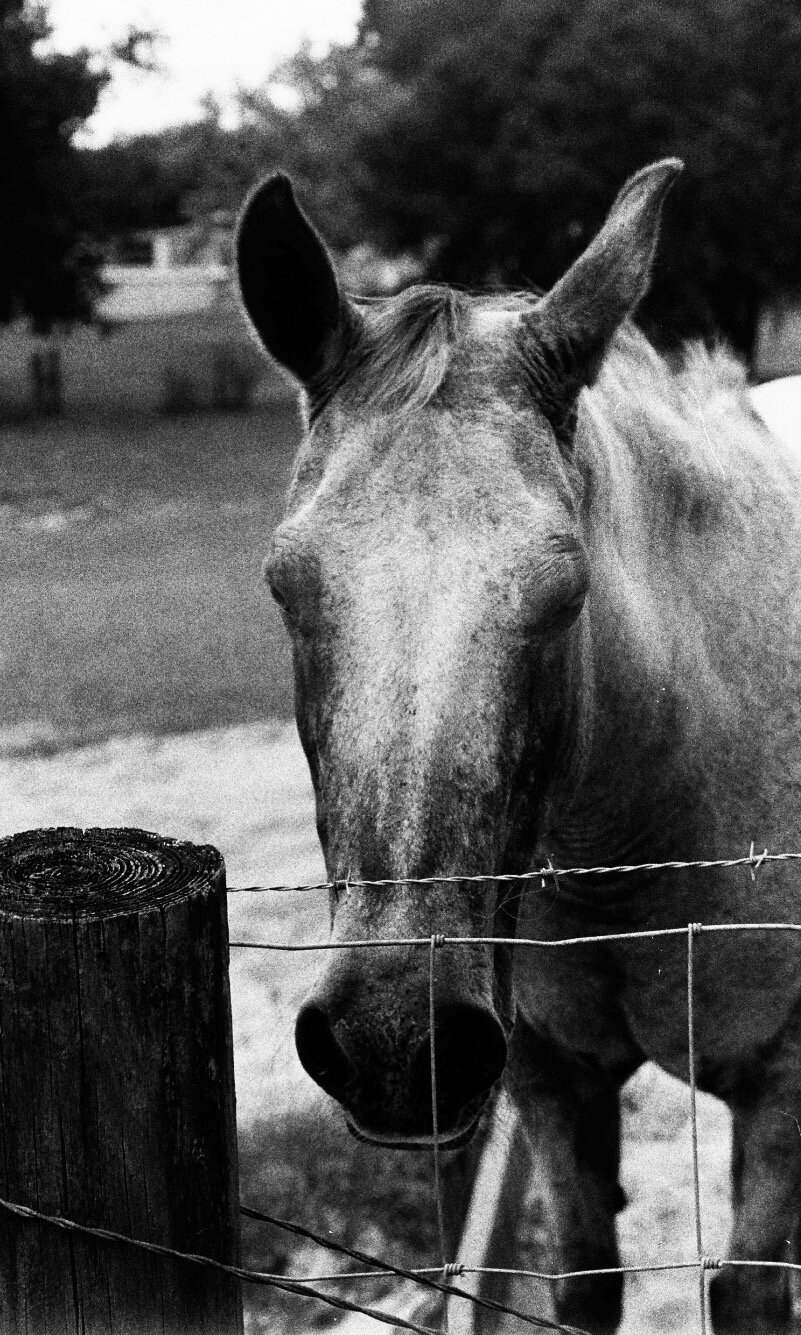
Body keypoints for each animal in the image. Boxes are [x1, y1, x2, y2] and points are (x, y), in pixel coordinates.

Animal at [238, 158, 801, 1335]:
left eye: (566, 585)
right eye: (284, 582)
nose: (394, 1043)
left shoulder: (783, 1087)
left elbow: (751, 1291)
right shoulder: (550, 1079)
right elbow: (581, 1278)